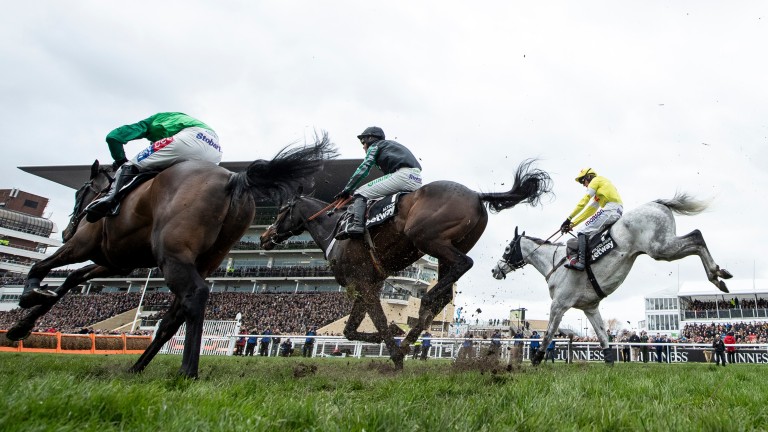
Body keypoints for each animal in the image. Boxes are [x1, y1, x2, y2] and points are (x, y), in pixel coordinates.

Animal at [6, 136, 336, 378]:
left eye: (80, 192)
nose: (66, 230)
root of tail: (233, 179)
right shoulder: (115, 261)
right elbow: (73, 277)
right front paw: (22, 323)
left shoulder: (84, 246)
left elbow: (43, 265)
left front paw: (28, 298)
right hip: (205, 258)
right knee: (175, 313)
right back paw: (138, 366)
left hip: (172, 256)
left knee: (194, 296)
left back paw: (186, 370)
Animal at [262, 160, 552, 370]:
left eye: (281, 211)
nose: (265, 236)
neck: (333, 231)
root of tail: (477, 195)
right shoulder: (368, 284)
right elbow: (350, 329)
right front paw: (393, 337)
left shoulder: (363, 283)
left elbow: (376, 321)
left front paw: (394, 350)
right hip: (448, 245)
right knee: (447, 289)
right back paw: (419, 321)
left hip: (425, 236)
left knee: (463, 265)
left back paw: (424, 305)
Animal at [492, 194, 732, 366]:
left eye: (507, 248)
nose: (495, 269)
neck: (555, 263)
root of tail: (657, 203)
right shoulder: (590, 307)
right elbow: (602, 334)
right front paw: (608, 360)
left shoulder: (559, 304)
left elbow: (549, 333)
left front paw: (536, 358)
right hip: (664, 246)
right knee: (696, 237)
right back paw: (719, 276)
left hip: (660, 247)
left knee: (697, 236)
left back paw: (716, 275)